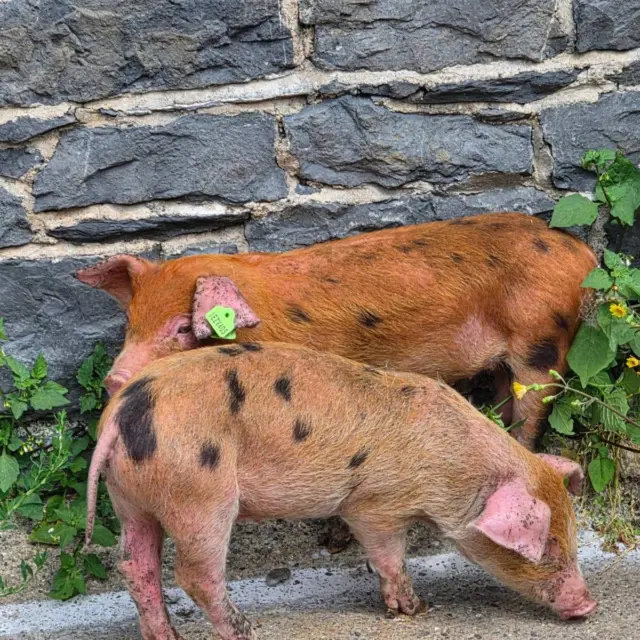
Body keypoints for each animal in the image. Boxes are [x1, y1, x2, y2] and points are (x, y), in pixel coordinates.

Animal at [75, 212, 597, 451]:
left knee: (534, 409)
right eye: (131, 321)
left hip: (541, 342)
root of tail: (582, 254)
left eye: (183, 326)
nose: (115, 379)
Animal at [86, 342, 597, 640]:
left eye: (572, 540)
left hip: (132, 499)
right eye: (548, 549)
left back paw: (167, 636)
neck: (449, 467)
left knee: (135, 564)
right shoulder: (374, 505)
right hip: (200, 495)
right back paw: (248, 631)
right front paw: (416, 609)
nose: (588, 605)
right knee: (194, 574)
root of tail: (119, 416)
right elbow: (389, 556)